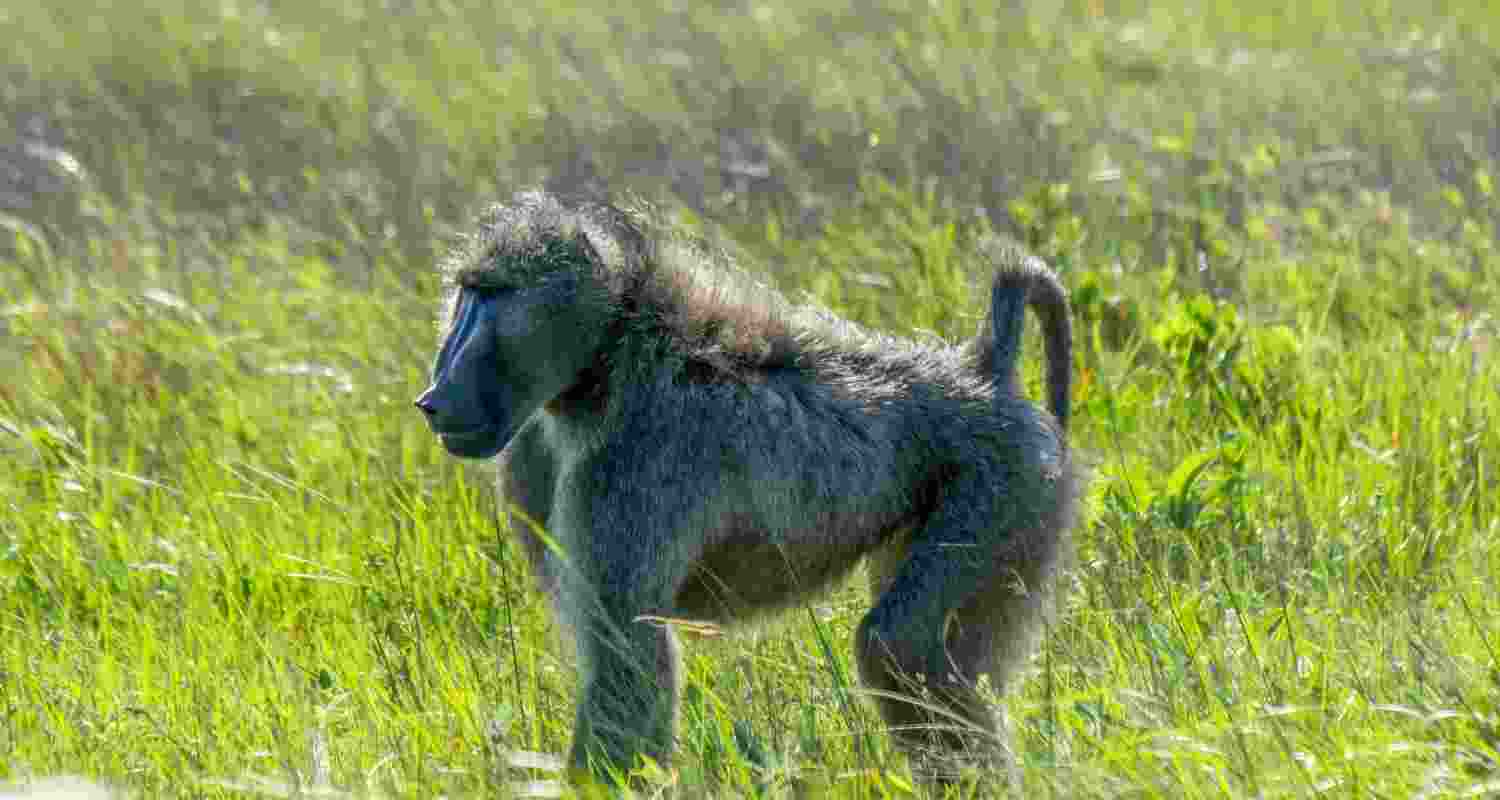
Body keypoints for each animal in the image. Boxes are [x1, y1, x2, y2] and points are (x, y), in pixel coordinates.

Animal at [413, 190, 1081, 787]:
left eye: (492, 296)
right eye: (467, 293)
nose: (434, 397)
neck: (607, 357)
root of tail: (982, 375)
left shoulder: (629, 469)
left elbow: (626, 662)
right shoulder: (531, 452)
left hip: (1005, 487)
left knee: (898, 648)